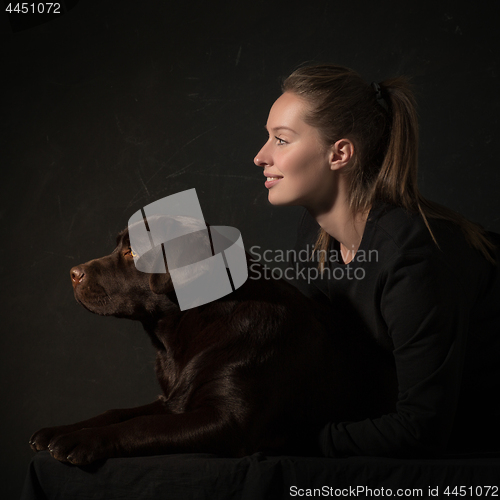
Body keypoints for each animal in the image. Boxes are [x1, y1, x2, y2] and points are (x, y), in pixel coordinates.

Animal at [28, 227, 394, 464]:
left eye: (132, 252)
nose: (73, 273)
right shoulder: (172, 400)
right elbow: (115, 412)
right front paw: (61, 430)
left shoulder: (227, 422)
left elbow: (140, 426)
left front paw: (79, 439)